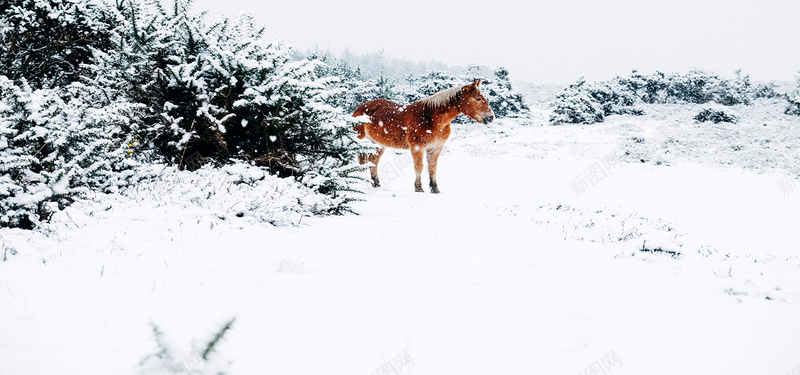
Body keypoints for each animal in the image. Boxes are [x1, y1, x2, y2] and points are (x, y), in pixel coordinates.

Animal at [354, 81, 494, 194]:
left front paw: (435, 189)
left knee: (374, 162)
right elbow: (419, 167)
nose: (491, 117)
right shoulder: (417, 147)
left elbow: (432, 168)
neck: (431, 118)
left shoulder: (436, 148)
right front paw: (419, 188)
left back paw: (376, 184)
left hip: (378, 144)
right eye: (477, 99)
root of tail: (360, 108)